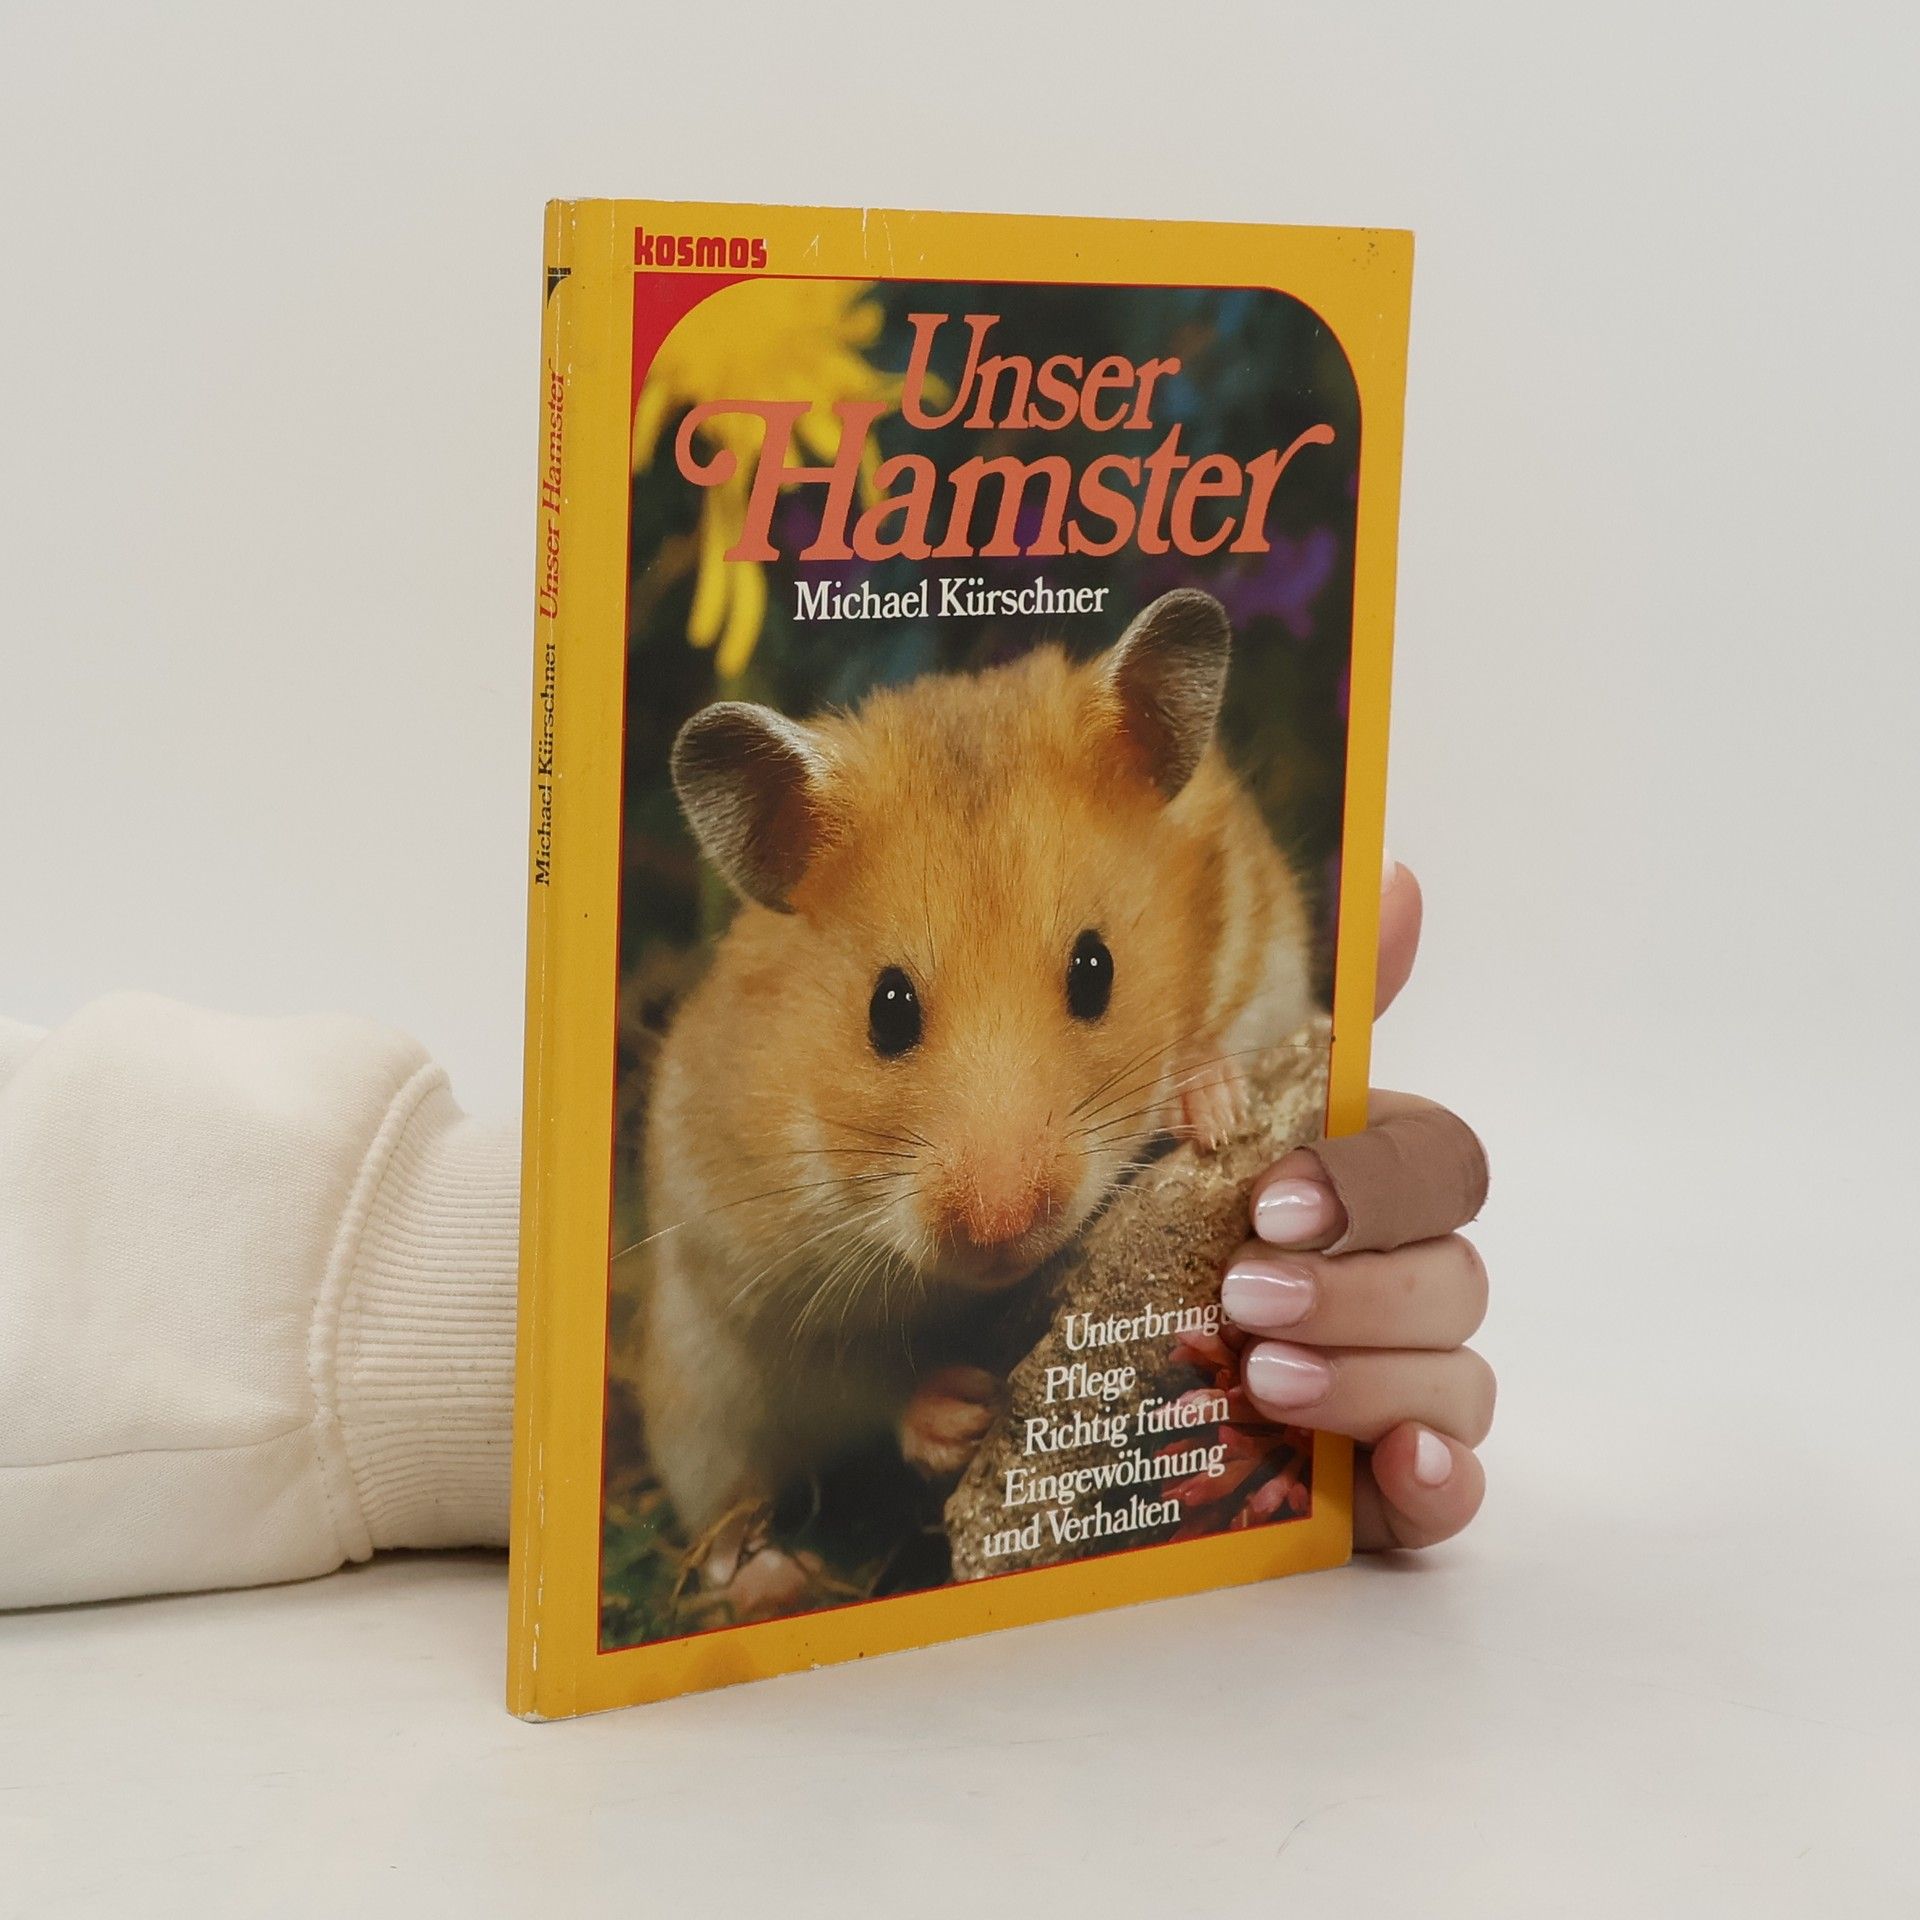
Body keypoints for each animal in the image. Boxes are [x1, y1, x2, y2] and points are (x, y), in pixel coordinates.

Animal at [637, 589, 1313, 1600]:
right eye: (887, 1009)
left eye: (1095, 969)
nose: (1000, 1232)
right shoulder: (746, 1272)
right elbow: (861, 1373)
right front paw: (959, 1412)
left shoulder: (1263, 953)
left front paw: (1215, 1107)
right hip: (693, 1405)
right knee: (725, 1520)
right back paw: (777, 1581)